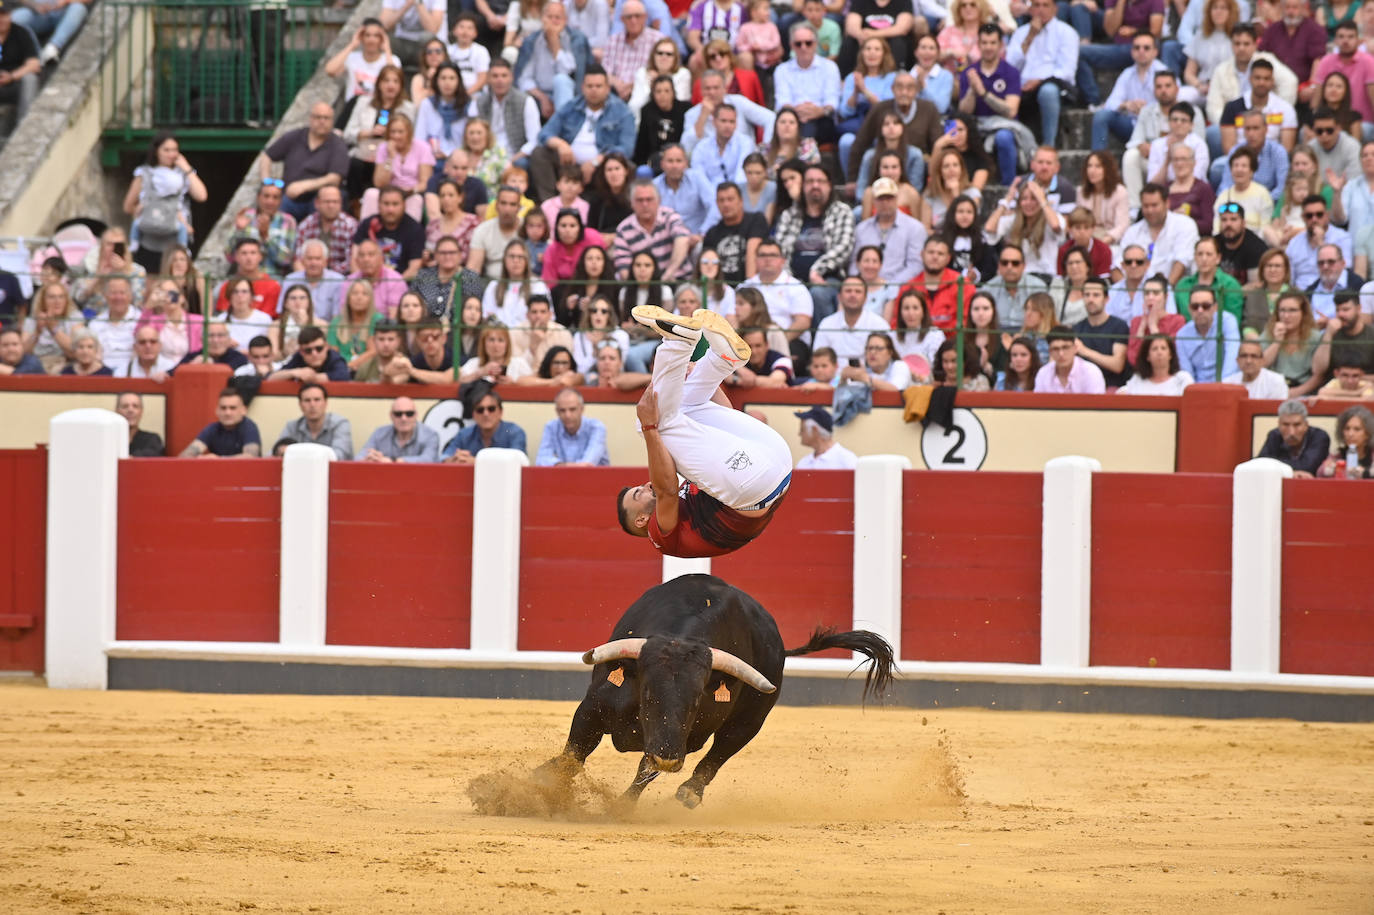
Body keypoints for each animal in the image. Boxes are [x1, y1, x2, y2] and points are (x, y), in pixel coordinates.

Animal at [530, 574, 895, 807]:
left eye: (696, 702)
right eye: (647, 693)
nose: (668, 758)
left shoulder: (679, 739)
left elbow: (645, 771)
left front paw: (620, 807)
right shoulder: (593, 707)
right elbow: (574, 753)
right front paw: (544, 780)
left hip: (749, 721)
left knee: (719, 752)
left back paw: (689, 793)